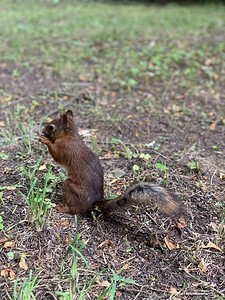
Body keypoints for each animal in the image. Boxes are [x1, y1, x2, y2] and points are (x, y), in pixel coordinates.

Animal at [38, 109, 179, 216]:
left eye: (51, 127)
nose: (42, 131)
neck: (70, 136)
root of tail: (94, 202)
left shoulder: (66, 149)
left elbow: (57, 155)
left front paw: (45, 140)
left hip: (70, 189)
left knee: (76, 210)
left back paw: (63, 208)